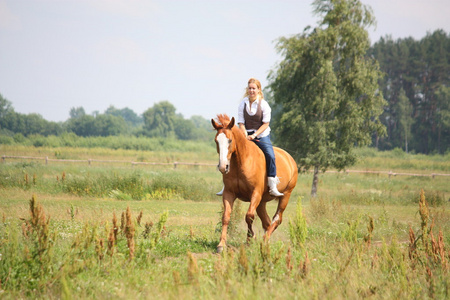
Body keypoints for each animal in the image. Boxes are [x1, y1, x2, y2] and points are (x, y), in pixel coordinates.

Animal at [212, 113, 298, 252]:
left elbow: (249, 216)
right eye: (216, 141)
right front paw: (221, 245)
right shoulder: (229, 193)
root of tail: (289, 158)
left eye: (230, 140)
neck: (241, 162)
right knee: (267, 222)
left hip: (286, 195)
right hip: (262, 202)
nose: (223, 167)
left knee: (277, 219)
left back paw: (264, 240)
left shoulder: (255, 194)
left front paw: (250, 239)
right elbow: (226, 217)